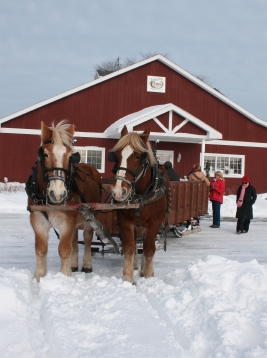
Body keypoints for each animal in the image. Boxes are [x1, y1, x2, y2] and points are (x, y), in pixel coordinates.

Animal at [27, 120, 102, 280]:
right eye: (45, 154)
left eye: (69, 157)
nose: (58, 194)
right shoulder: (38, 219)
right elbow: (41, 249)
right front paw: (39, 276)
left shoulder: (67, 221)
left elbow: (64, 249)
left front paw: (65, 275)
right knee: (74, 239)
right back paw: (73, 265)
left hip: (90, 216)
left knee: (87, 238)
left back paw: (86, 265)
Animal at [108, 125, 170, 282]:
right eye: (117, 155)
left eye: (137, 156)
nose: (118, 191)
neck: (141, 196)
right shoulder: (125, 220)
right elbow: (129, 246)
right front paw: (128, 277)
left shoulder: (154, 223)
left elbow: (149, 248)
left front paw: (148, 274)